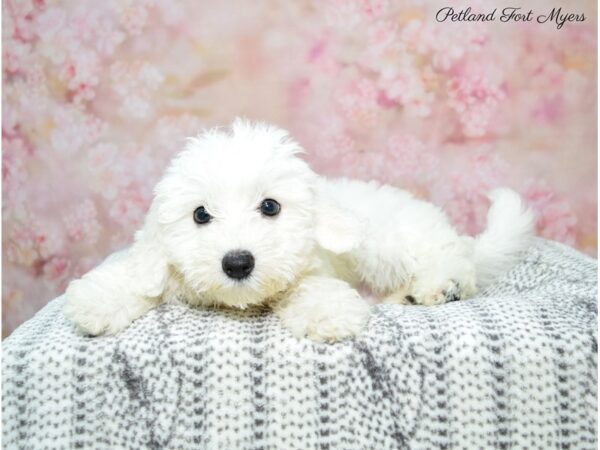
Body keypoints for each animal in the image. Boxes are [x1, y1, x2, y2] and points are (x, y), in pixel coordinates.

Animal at [65, 118, 536, 342]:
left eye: (270, 206)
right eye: (199, 215)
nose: (237, 263)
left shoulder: (314, 265)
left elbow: (311, 286)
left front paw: (328, 312)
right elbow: (138, 277)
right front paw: (98, 299)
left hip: (387, 242)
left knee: (452, 262)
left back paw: (440, 285)